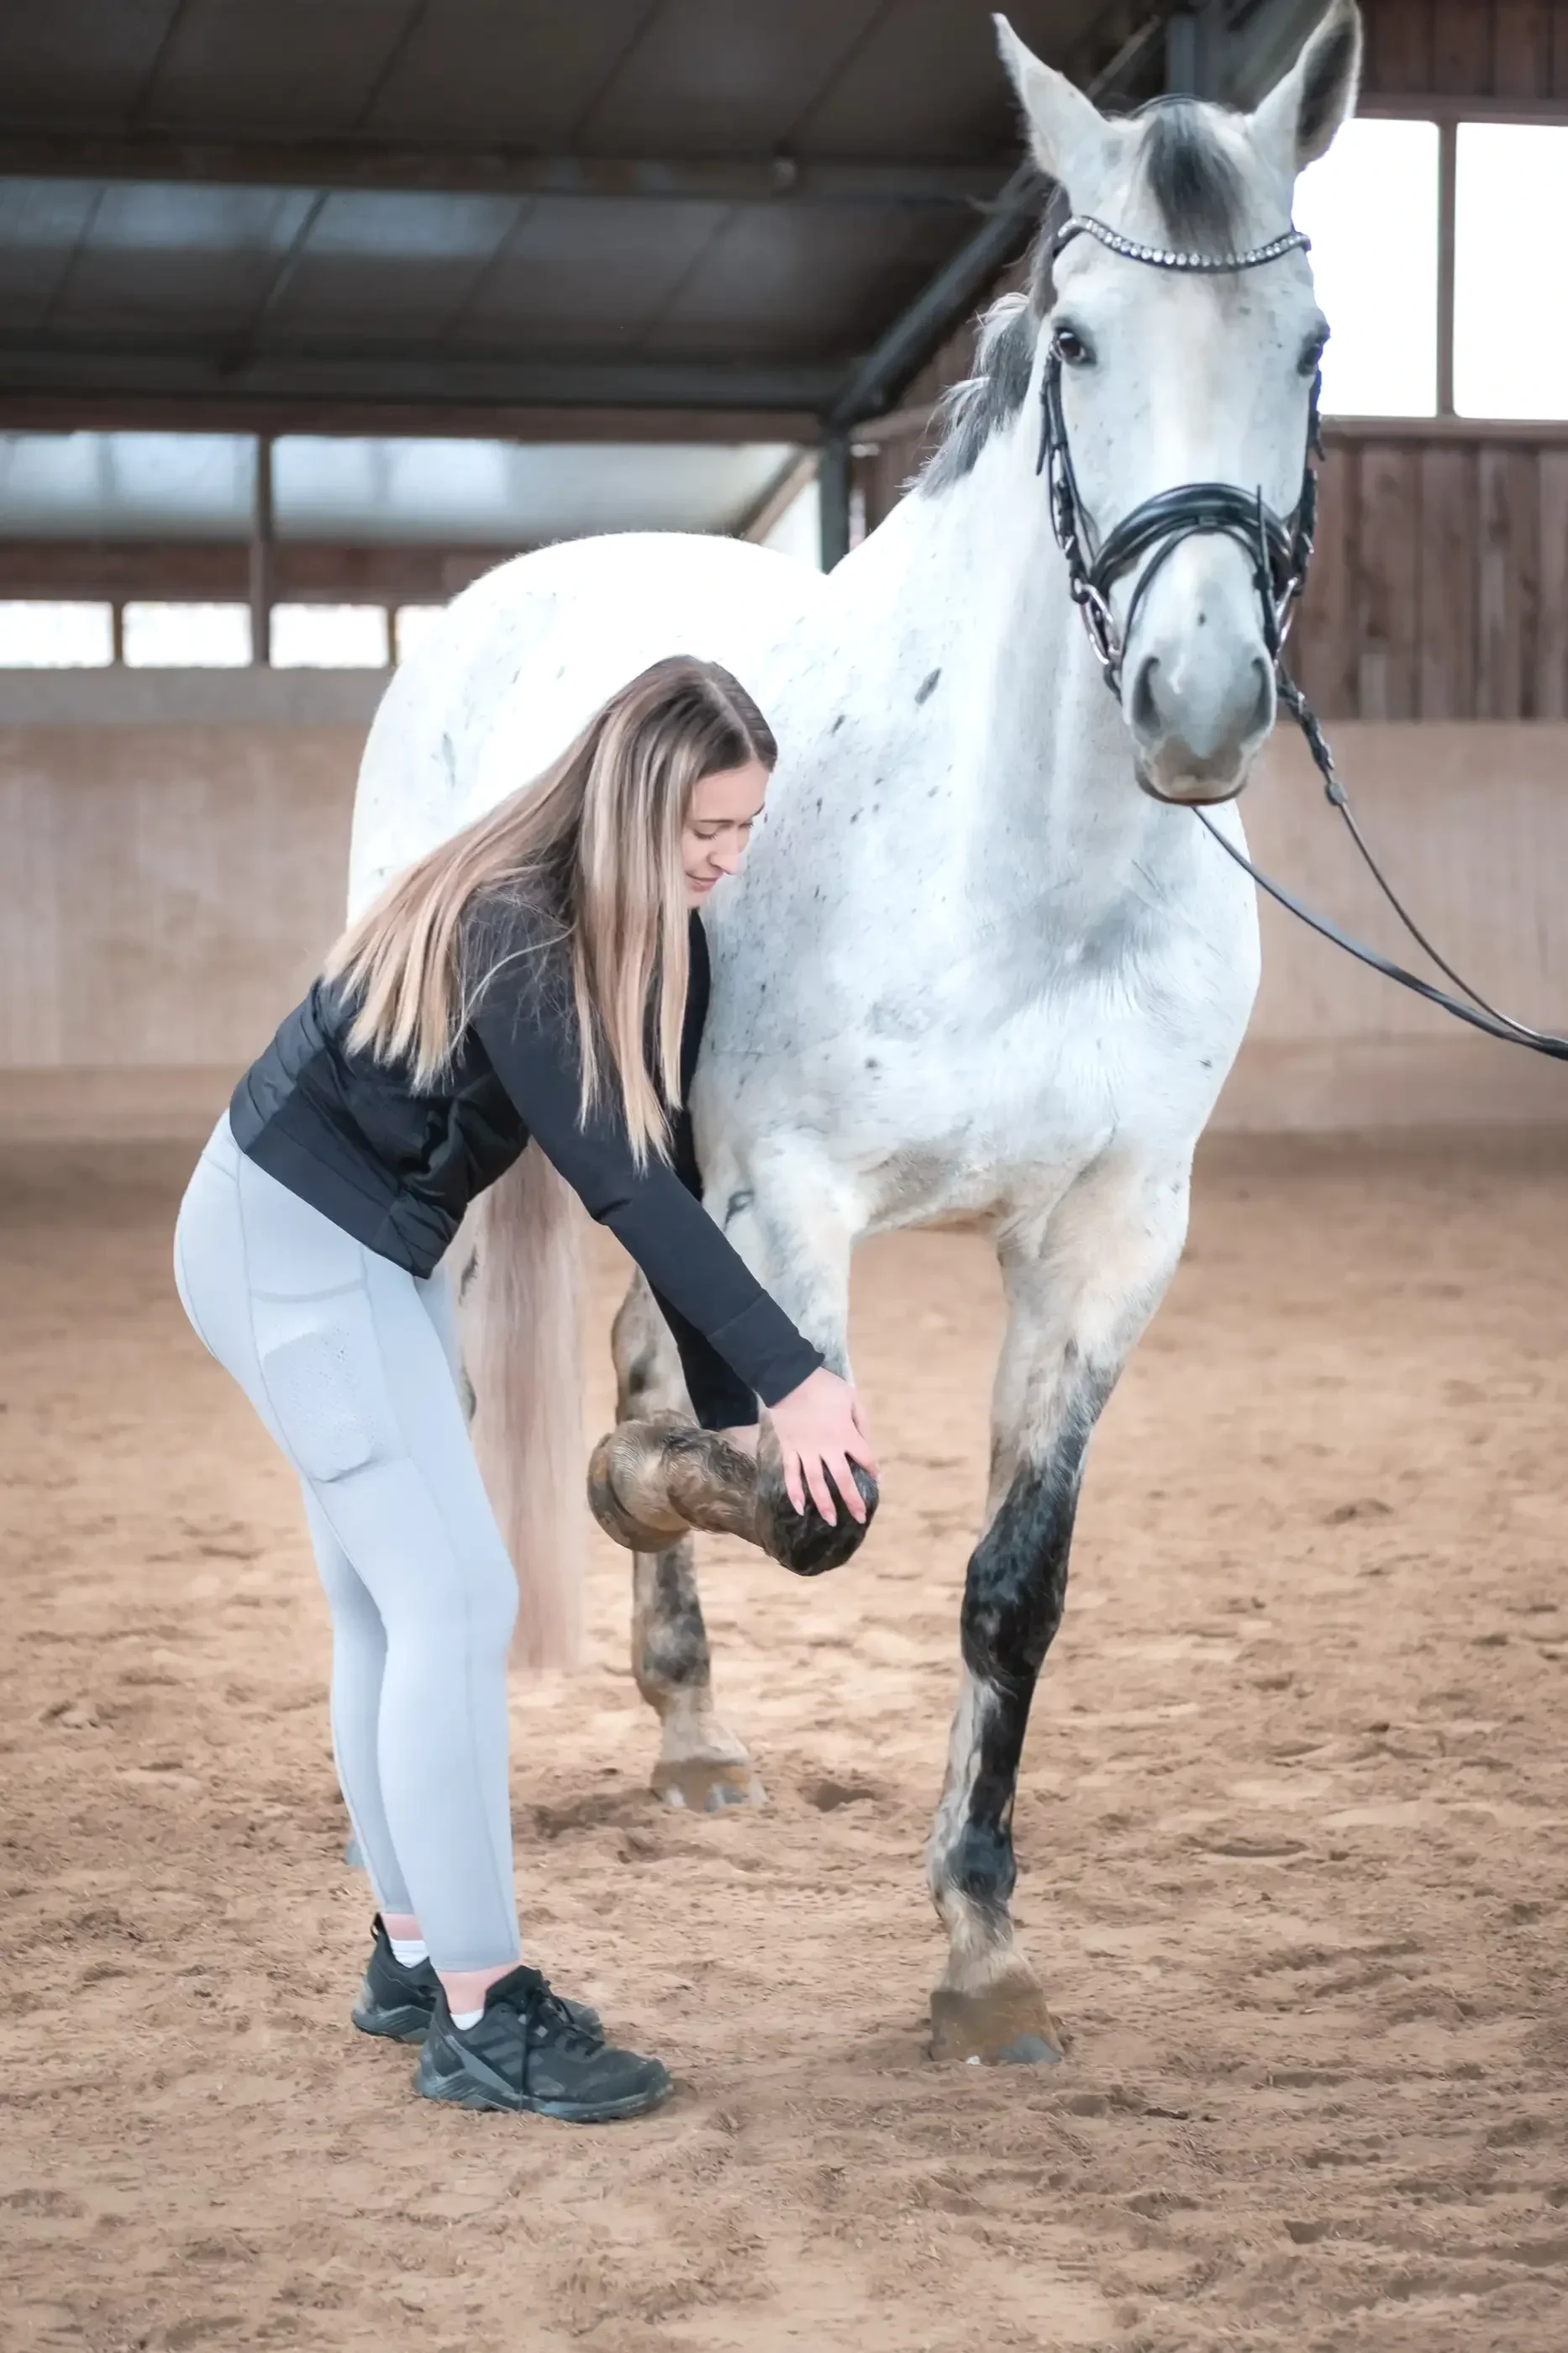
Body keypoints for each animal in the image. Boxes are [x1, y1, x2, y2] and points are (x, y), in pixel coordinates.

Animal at [346, 1, 1363, 2064]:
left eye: (1306, 344)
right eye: (1078, 340)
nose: (1200, 696)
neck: (1021, 871)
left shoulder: (1108, 1241)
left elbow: (1006, 1584)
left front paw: (981, 1948)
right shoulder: (786, 1203)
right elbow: (801, 1501)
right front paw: (631, 1498)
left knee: (638, 1360)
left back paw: (691, 1734)